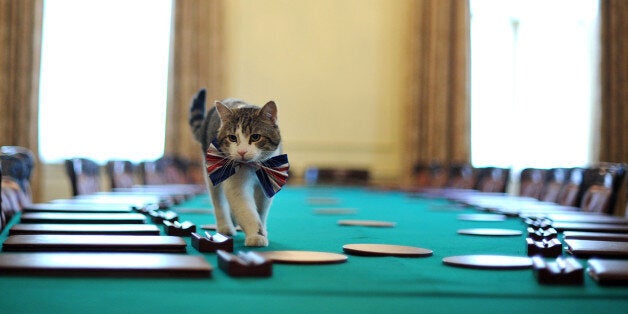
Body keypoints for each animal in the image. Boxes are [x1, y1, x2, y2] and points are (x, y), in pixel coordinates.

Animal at [185, 87, 286, 245]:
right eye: (232, 138)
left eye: (255, 137)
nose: (242, 152)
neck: (252, 168)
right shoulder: (236, 185)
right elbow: (246, 210)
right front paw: (256, 235)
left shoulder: (267, 181)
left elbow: (261, 211)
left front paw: (262, 230)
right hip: (213, 172)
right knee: (219, 202)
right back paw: (225, 226)